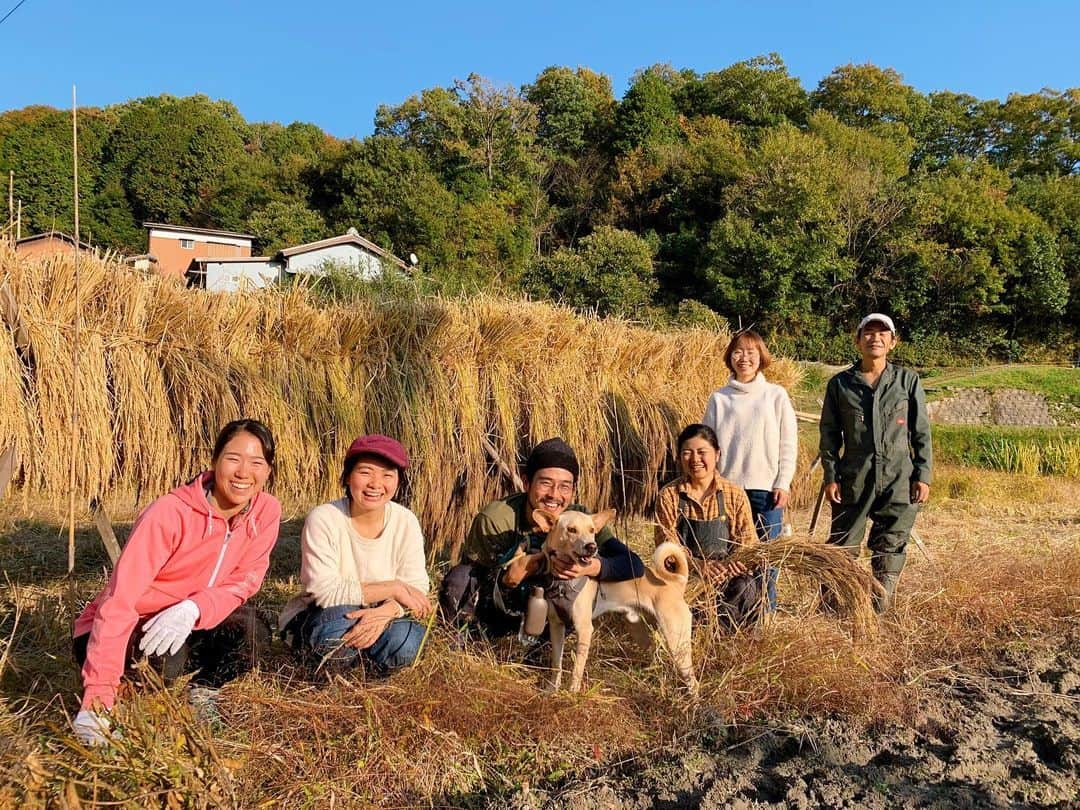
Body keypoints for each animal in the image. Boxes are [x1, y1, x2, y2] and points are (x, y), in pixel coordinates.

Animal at [533, 509, 699, 695]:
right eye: (571, 529)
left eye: (592, 530)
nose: (592, 547)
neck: (563, 582)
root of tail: (677, 582)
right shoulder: (556, 626)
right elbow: (556, 664)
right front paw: (551, 689)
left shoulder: (584, 630)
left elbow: (577, 669)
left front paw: (572, 694)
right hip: (639, 630)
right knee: (653, 652)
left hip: (676, 640)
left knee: (693, 681)